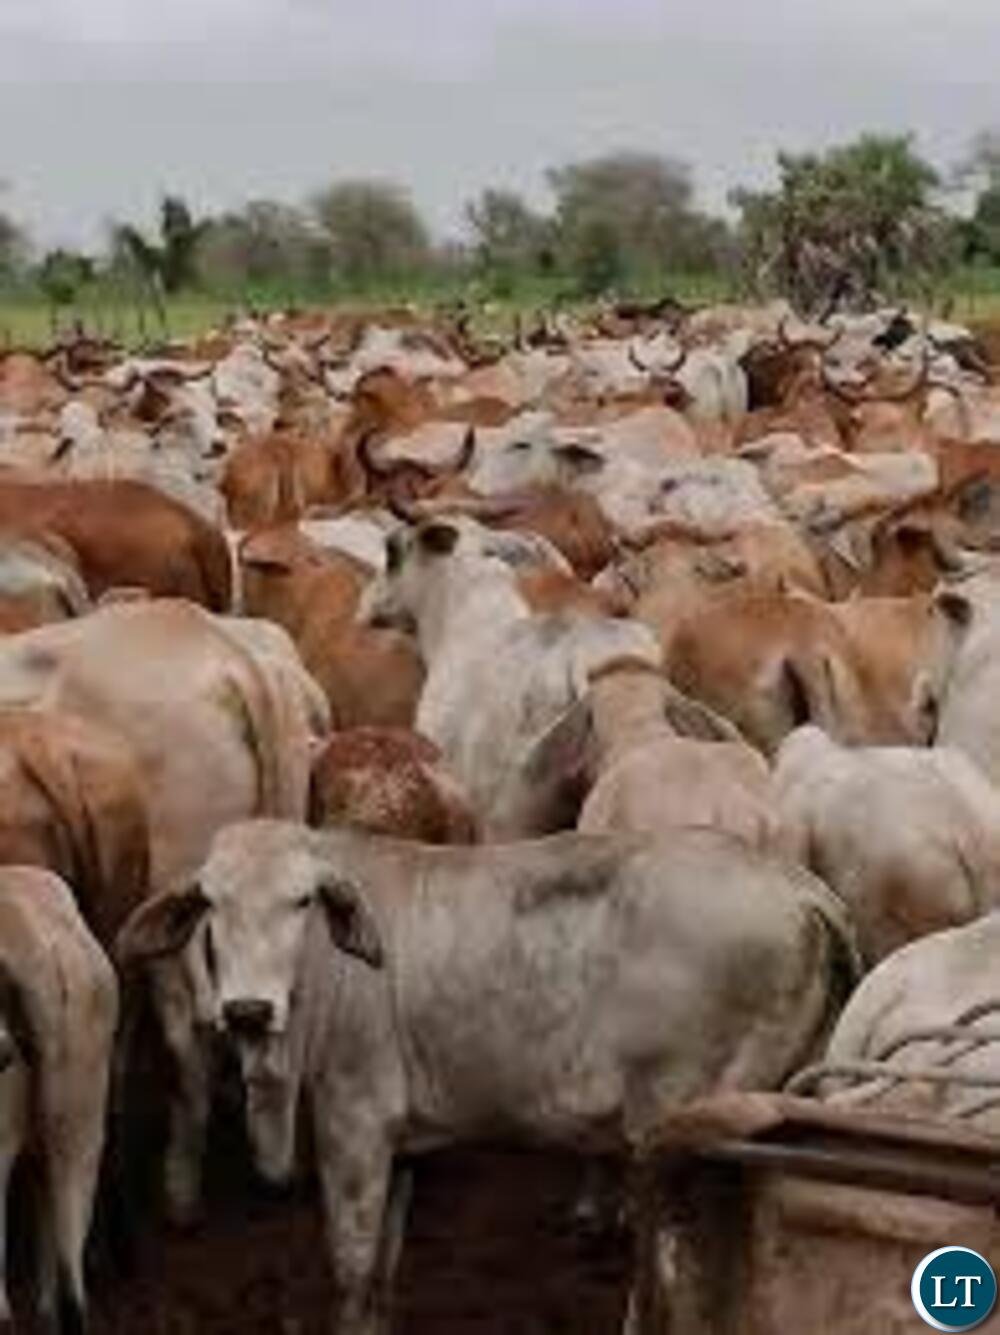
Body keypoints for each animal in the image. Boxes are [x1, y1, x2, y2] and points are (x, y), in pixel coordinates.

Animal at [117, 818, 858, 1335]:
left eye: (301, 901)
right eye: (211, 902)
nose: (246, 1009)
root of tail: (801, 889)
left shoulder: (353, 1121)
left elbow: (351, 1268)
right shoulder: (400, 1146)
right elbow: (380, 1273)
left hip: (675, 1125)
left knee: (674, 1268)